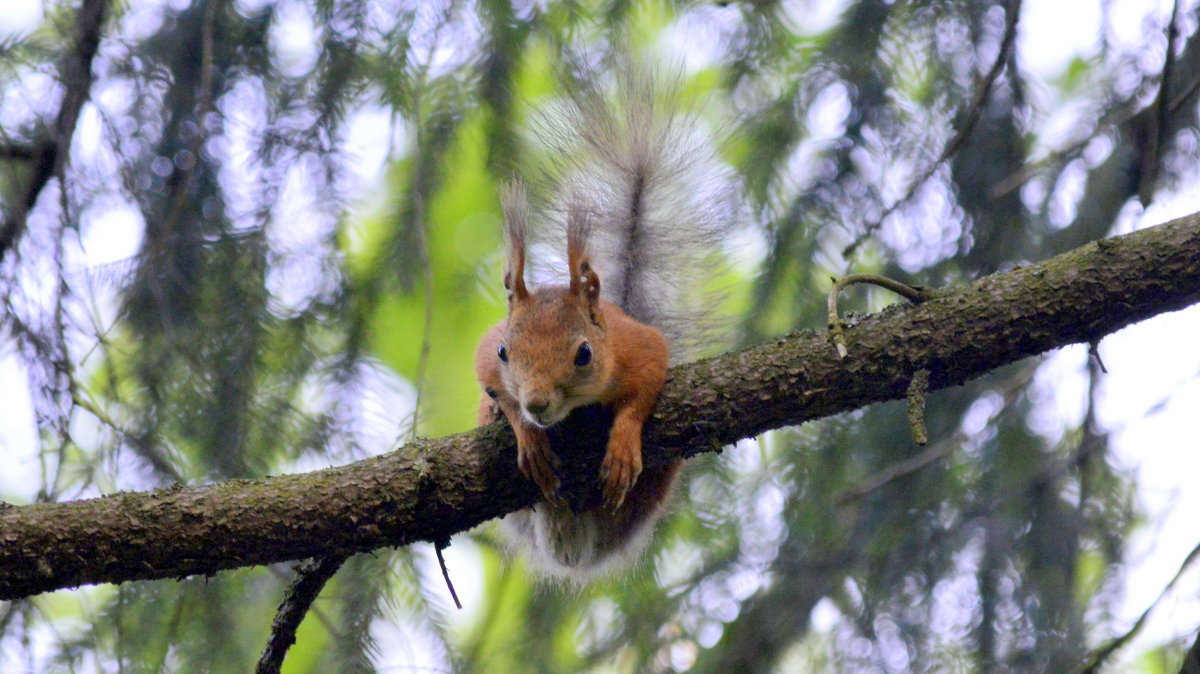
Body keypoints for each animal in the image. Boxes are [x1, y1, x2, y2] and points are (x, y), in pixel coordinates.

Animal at [472, 72, 734, 578]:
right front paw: (524, 431)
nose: (537, 403)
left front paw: (622, 447)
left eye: (584, 354)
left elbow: (643, 390)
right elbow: (495, 386)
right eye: (504, 352)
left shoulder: (638, 348)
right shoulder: (485, 354)